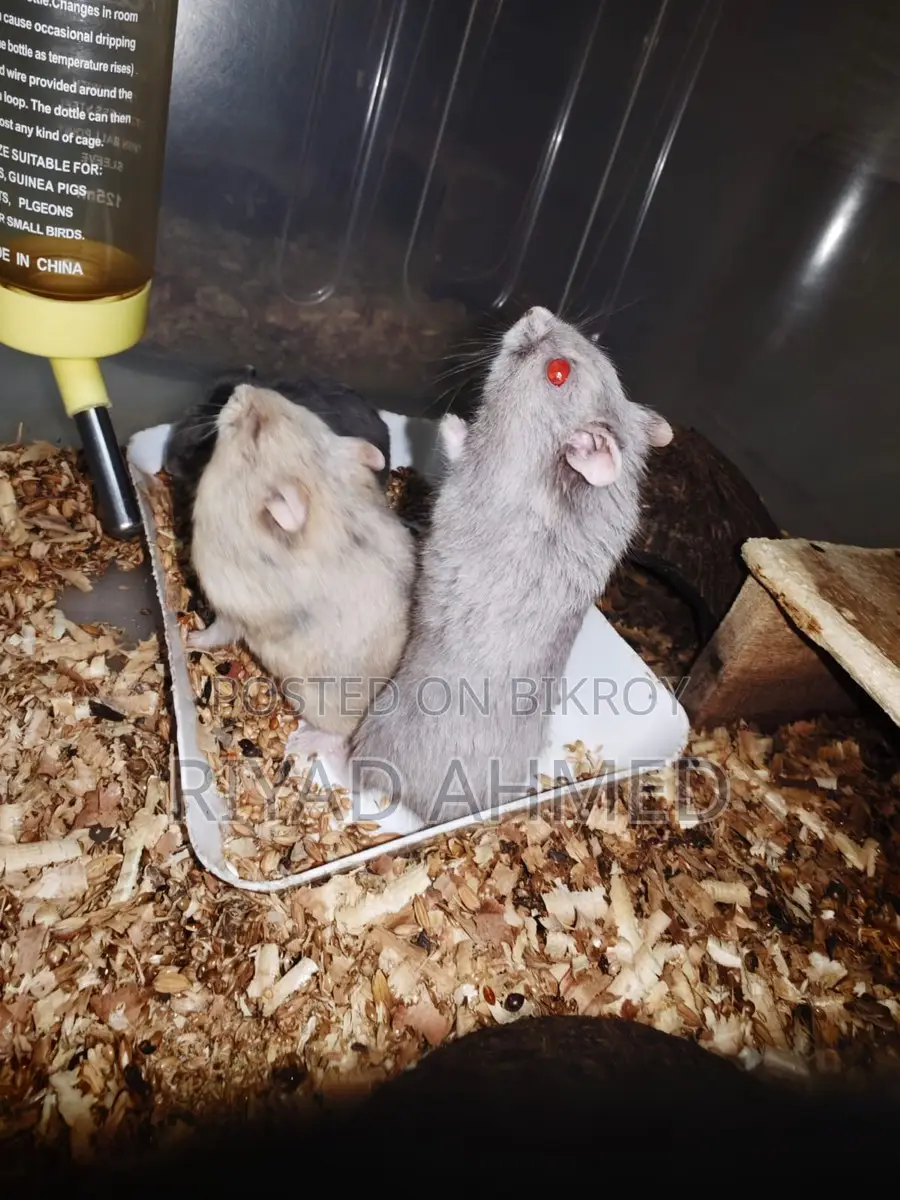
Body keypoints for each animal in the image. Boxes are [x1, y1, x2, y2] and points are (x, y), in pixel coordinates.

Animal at [186, 384, 416, 737]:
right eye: (296, 406)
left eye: (255, 430)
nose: (239, 388)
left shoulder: (231, 611)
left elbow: (216, 632)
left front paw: (189, 639)